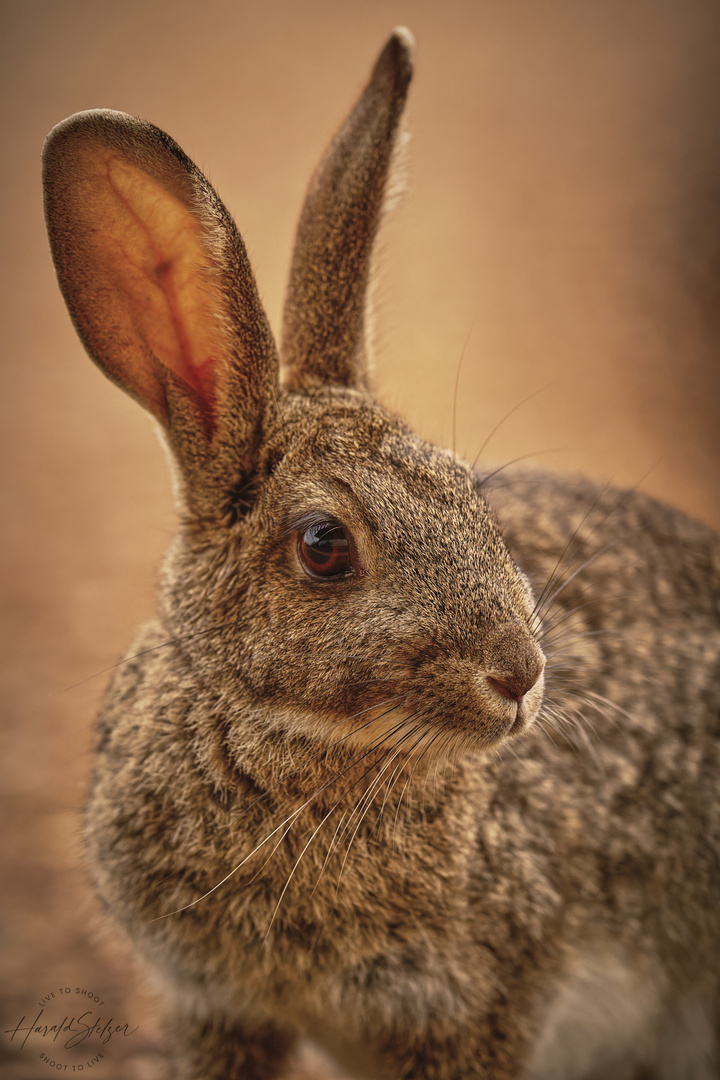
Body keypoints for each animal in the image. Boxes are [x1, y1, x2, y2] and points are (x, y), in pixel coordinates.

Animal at [43, 23, 720, 1080]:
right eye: (325, 546)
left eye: (469, 491)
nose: (522, 676)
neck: (282, 744)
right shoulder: (218, 1005)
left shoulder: (471, 1010)